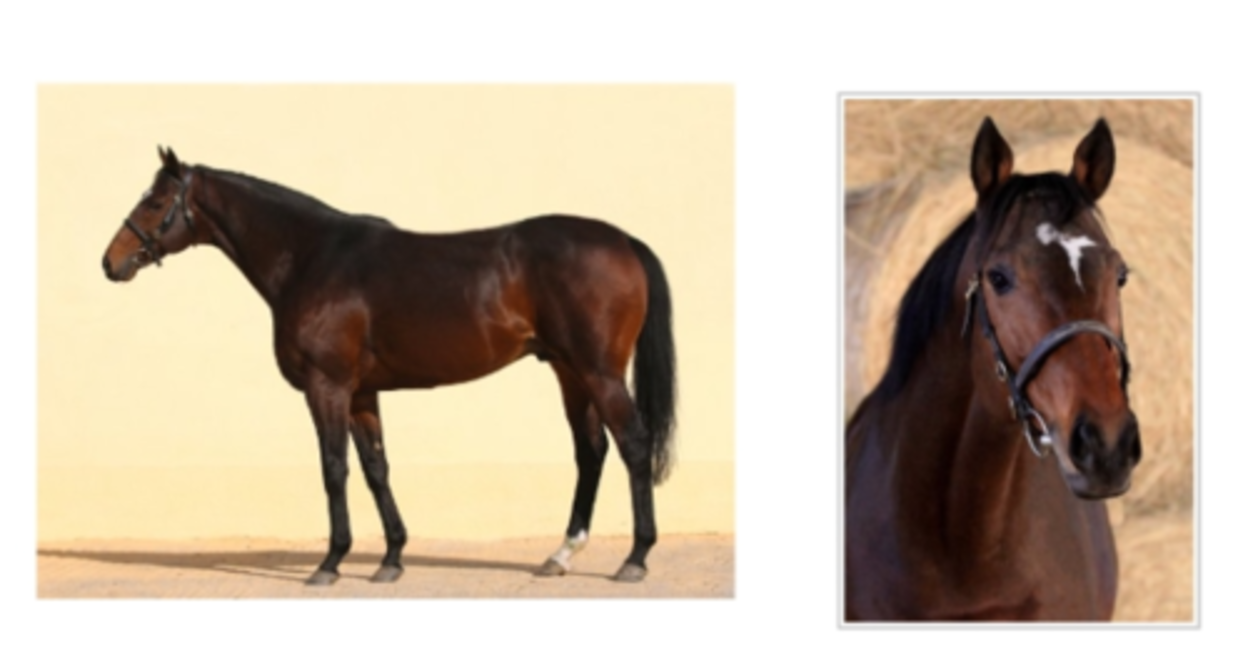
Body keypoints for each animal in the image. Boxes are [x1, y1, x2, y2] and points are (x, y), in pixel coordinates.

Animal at [101, 148, 677, 586]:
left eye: (155, 202)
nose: (111, 261)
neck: (311, 258)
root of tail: (624, 241)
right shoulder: (361, 393)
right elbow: (376, 469)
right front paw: (391, 558)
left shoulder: (327, 387)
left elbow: (334, 468)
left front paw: (330, 562)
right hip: (568, 371)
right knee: (591, 451)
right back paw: (560, 555)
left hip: (598, 372)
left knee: (632, 444)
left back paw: (635, 557)